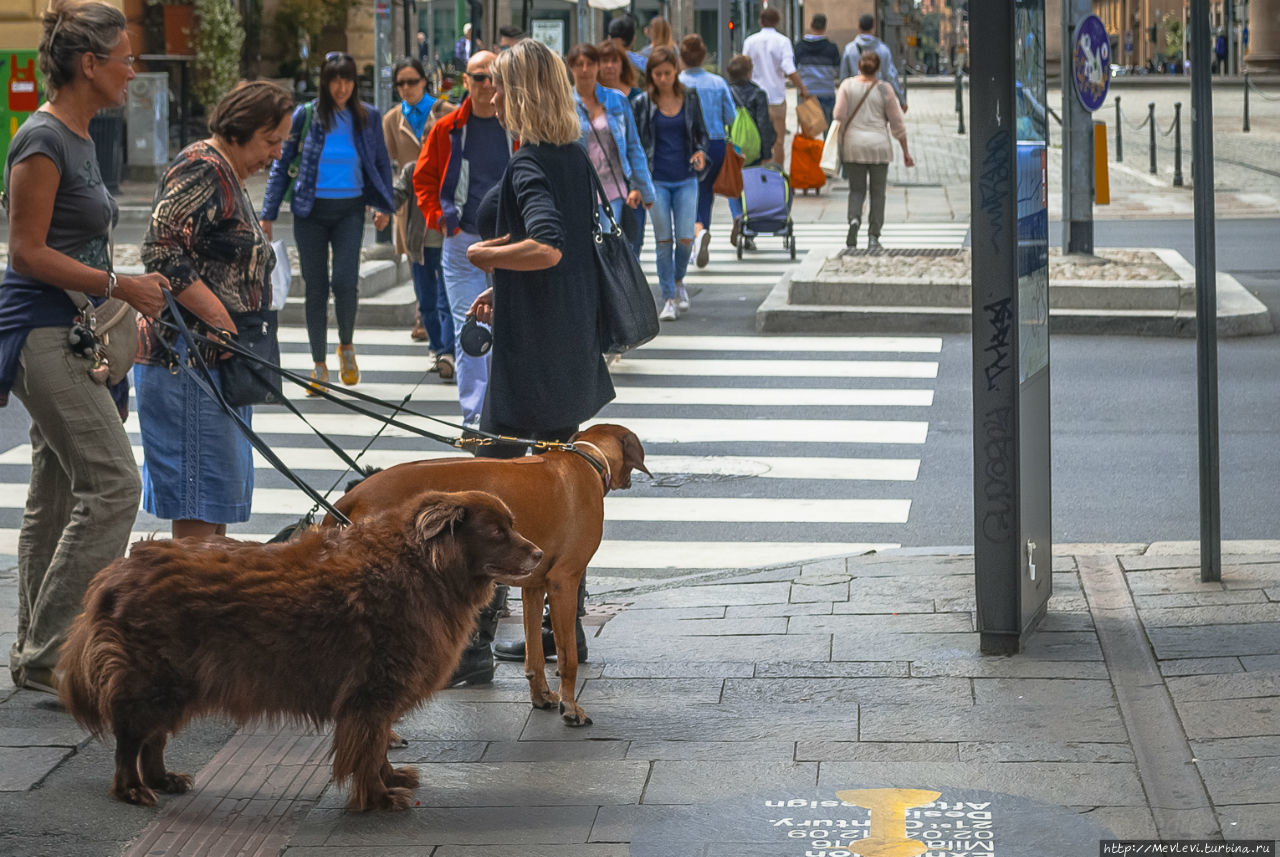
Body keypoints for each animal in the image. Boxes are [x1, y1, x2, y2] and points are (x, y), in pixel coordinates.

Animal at [61, 491, 540, 813]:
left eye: (513, 524)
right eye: (497, 532)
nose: (538, 553)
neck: (418, 564)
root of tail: (121, 568)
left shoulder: (377, 699)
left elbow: (378, 747)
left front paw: (389, 779)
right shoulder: (373, 693)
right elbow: (369, 749)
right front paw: (380, 796)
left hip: (179, 684)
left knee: (153, 738)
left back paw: (163, 779)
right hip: (156, 679)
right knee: (131, 738)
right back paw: (133, 789)